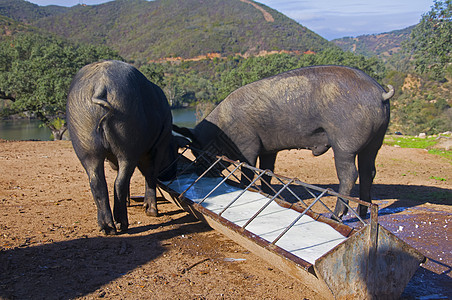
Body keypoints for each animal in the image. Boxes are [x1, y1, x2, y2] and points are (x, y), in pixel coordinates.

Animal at [67, 60, 177, 234]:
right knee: (119, 181)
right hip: (127, 143)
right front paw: (152, 211)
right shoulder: (160, 145)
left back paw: (107, 228)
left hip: (84, 141)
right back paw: (122, 224)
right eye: (176, 149)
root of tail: (100, 85)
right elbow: (150, 175)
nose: (173, 173)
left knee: (97, 182)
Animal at [173, 65, 392, 218]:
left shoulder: (248, 145)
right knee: (369, 172)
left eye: (199, 151)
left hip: (344, 142)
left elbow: (248, 170)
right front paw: (269, 194)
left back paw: (337, 216)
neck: (222, 130)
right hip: (376, 141)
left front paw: (246, 189)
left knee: (350, 174)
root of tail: (379, 93)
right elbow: (267, 171)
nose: (200, 171)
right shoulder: (268, 149)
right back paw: (363, 212)